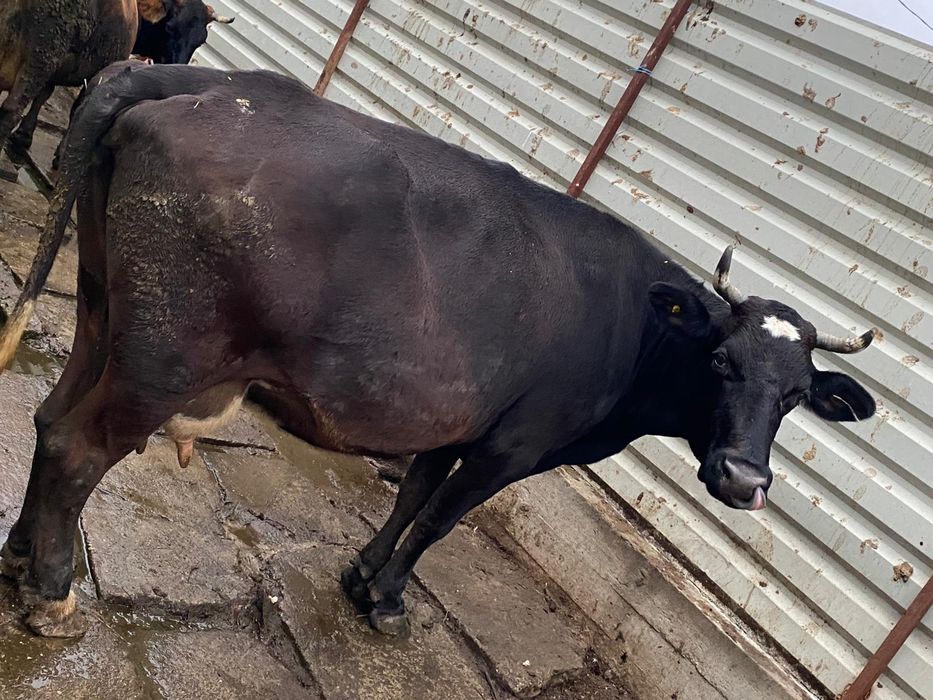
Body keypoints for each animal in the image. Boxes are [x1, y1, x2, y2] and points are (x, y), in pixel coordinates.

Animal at [0, 63, 877, 640]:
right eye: (721, 362)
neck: (634, 325)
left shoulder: (454, 420)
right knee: (79, 445)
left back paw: (17, 561)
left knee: (49, 417)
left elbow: (411, 493)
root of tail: (198, 78)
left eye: (795, 396)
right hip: (165, 356)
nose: (743, 479)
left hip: (102, 309)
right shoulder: (512, 445)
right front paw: (388, 599)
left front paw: (362, 577)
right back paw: (53, 595)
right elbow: (438, 521)